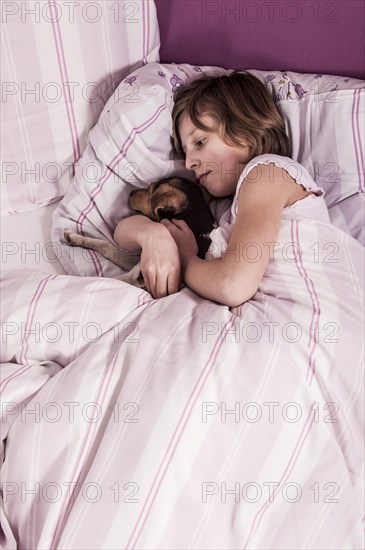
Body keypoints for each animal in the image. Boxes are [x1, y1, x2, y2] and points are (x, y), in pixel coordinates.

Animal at [63, 178, 215, 292]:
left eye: (150, 189)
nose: (130, 192)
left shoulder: (136, 279)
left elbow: (107, 280)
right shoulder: (141, 261)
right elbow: (108, 247)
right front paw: (76, 237)